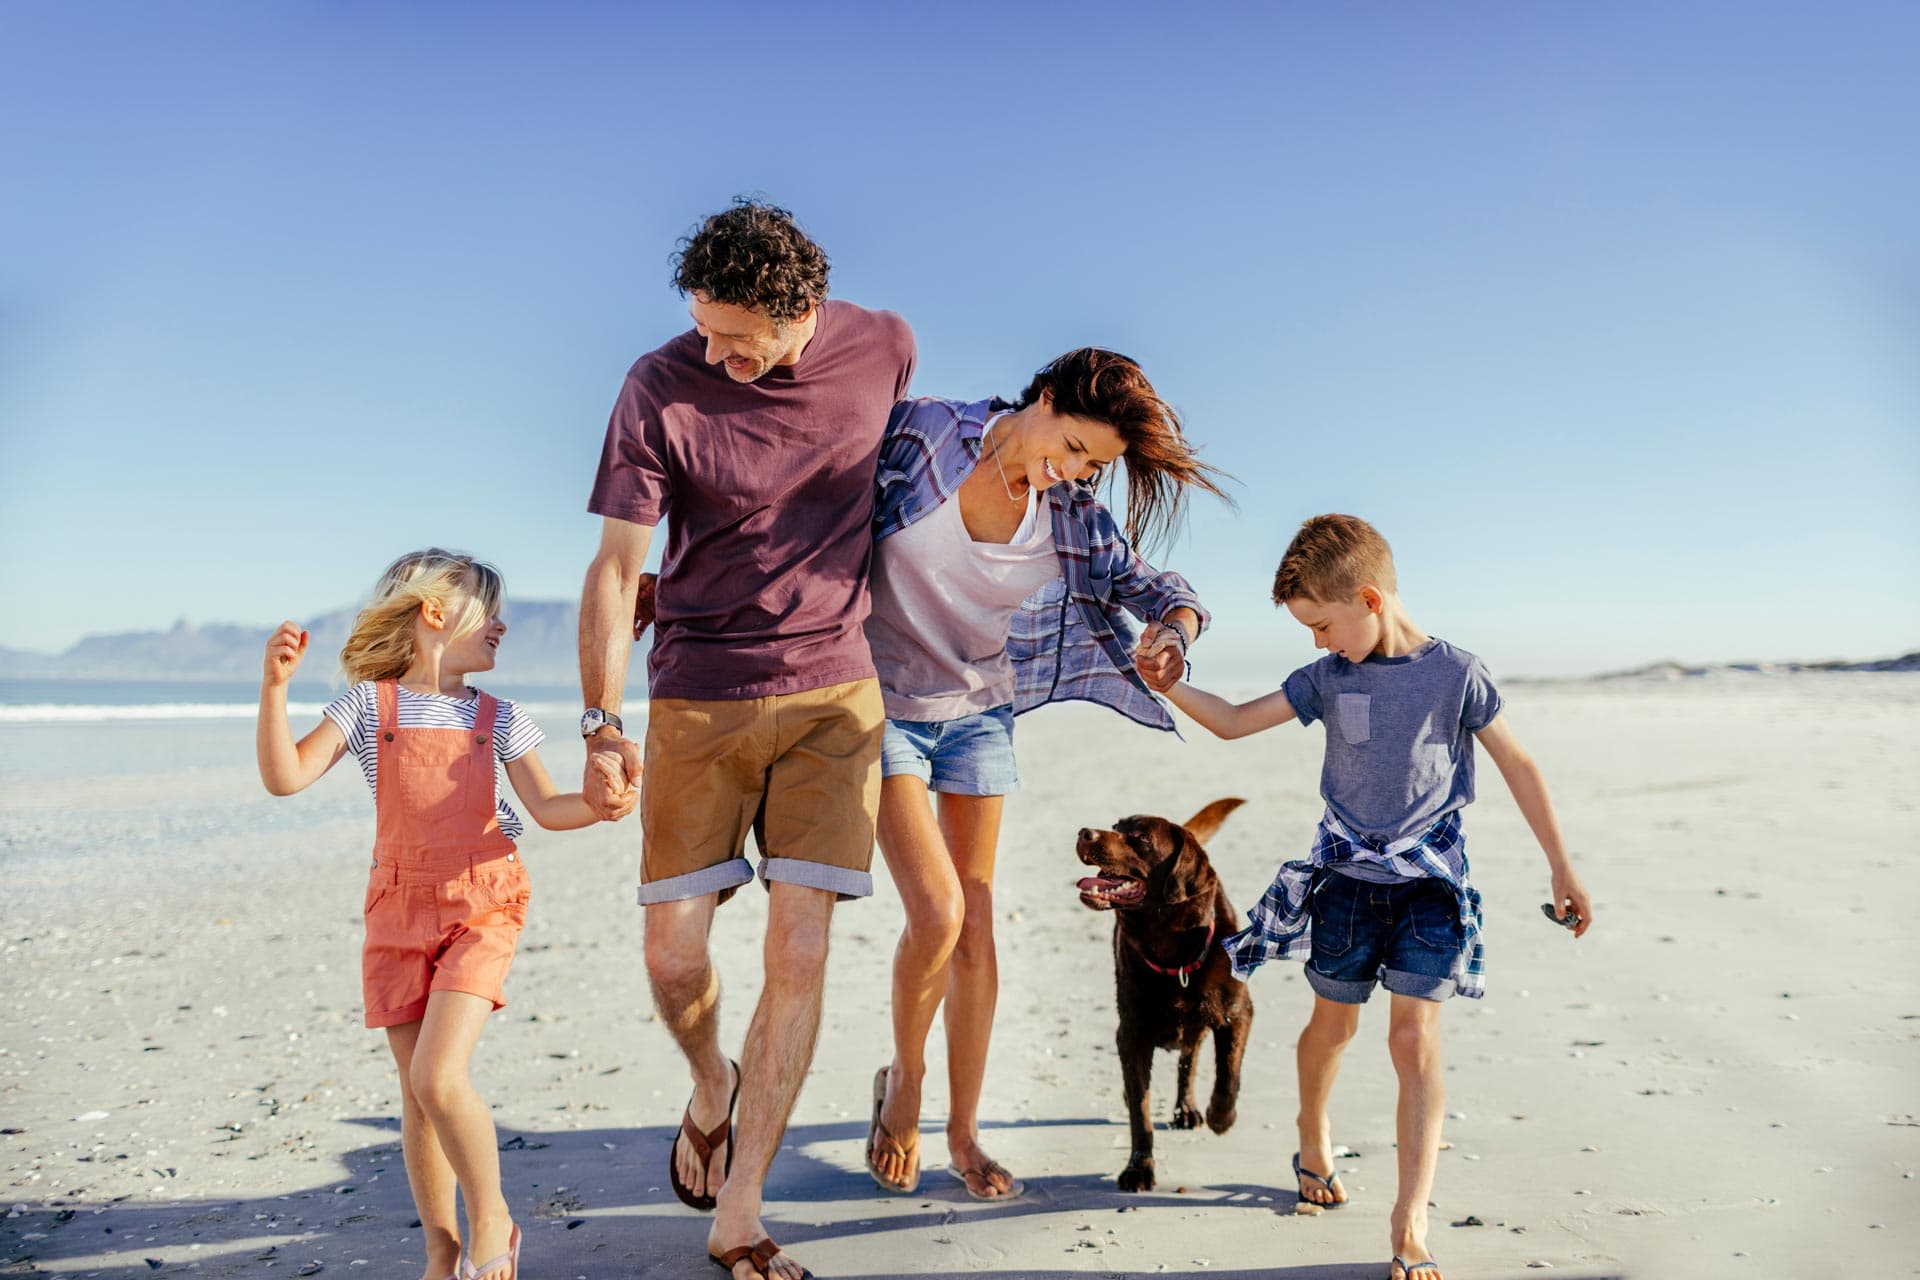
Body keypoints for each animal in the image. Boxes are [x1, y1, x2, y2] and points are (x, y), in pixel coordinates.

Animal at [1075, 794, 1251, 1197]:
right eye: (1116, 826)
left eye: (1139, 839)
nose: (1083, 832)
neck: (1174, 953)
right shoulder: (1131, 1034)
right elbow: (1140, 1113)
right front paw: (1139, 1168)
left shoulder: (1238, 1013)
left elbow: (1228, 1074)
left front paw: (1221, 1116)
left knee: (1191, 1057)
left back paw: (1190, 1109)